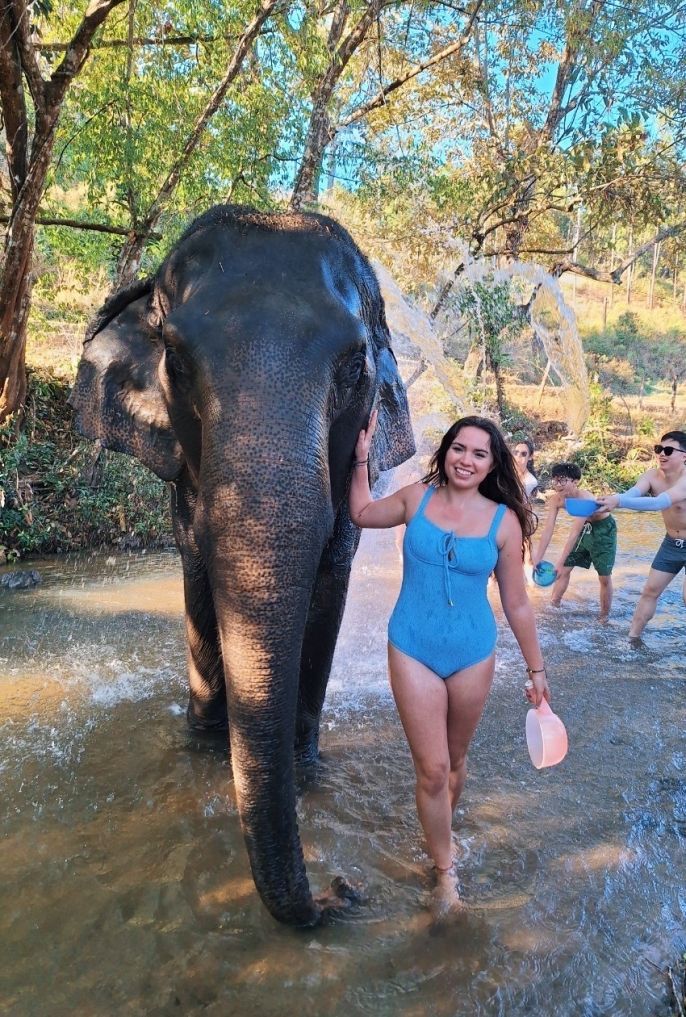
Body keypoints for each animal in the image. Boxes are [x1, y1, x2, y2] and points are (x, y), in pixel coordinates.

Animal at [69, 206, 416, 931]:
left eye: (356, 364)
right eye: (175, 359)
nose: (342, 888)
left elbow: (329, 584)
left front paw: (303, 767)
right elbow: (195, 565)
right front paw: (204, 745)